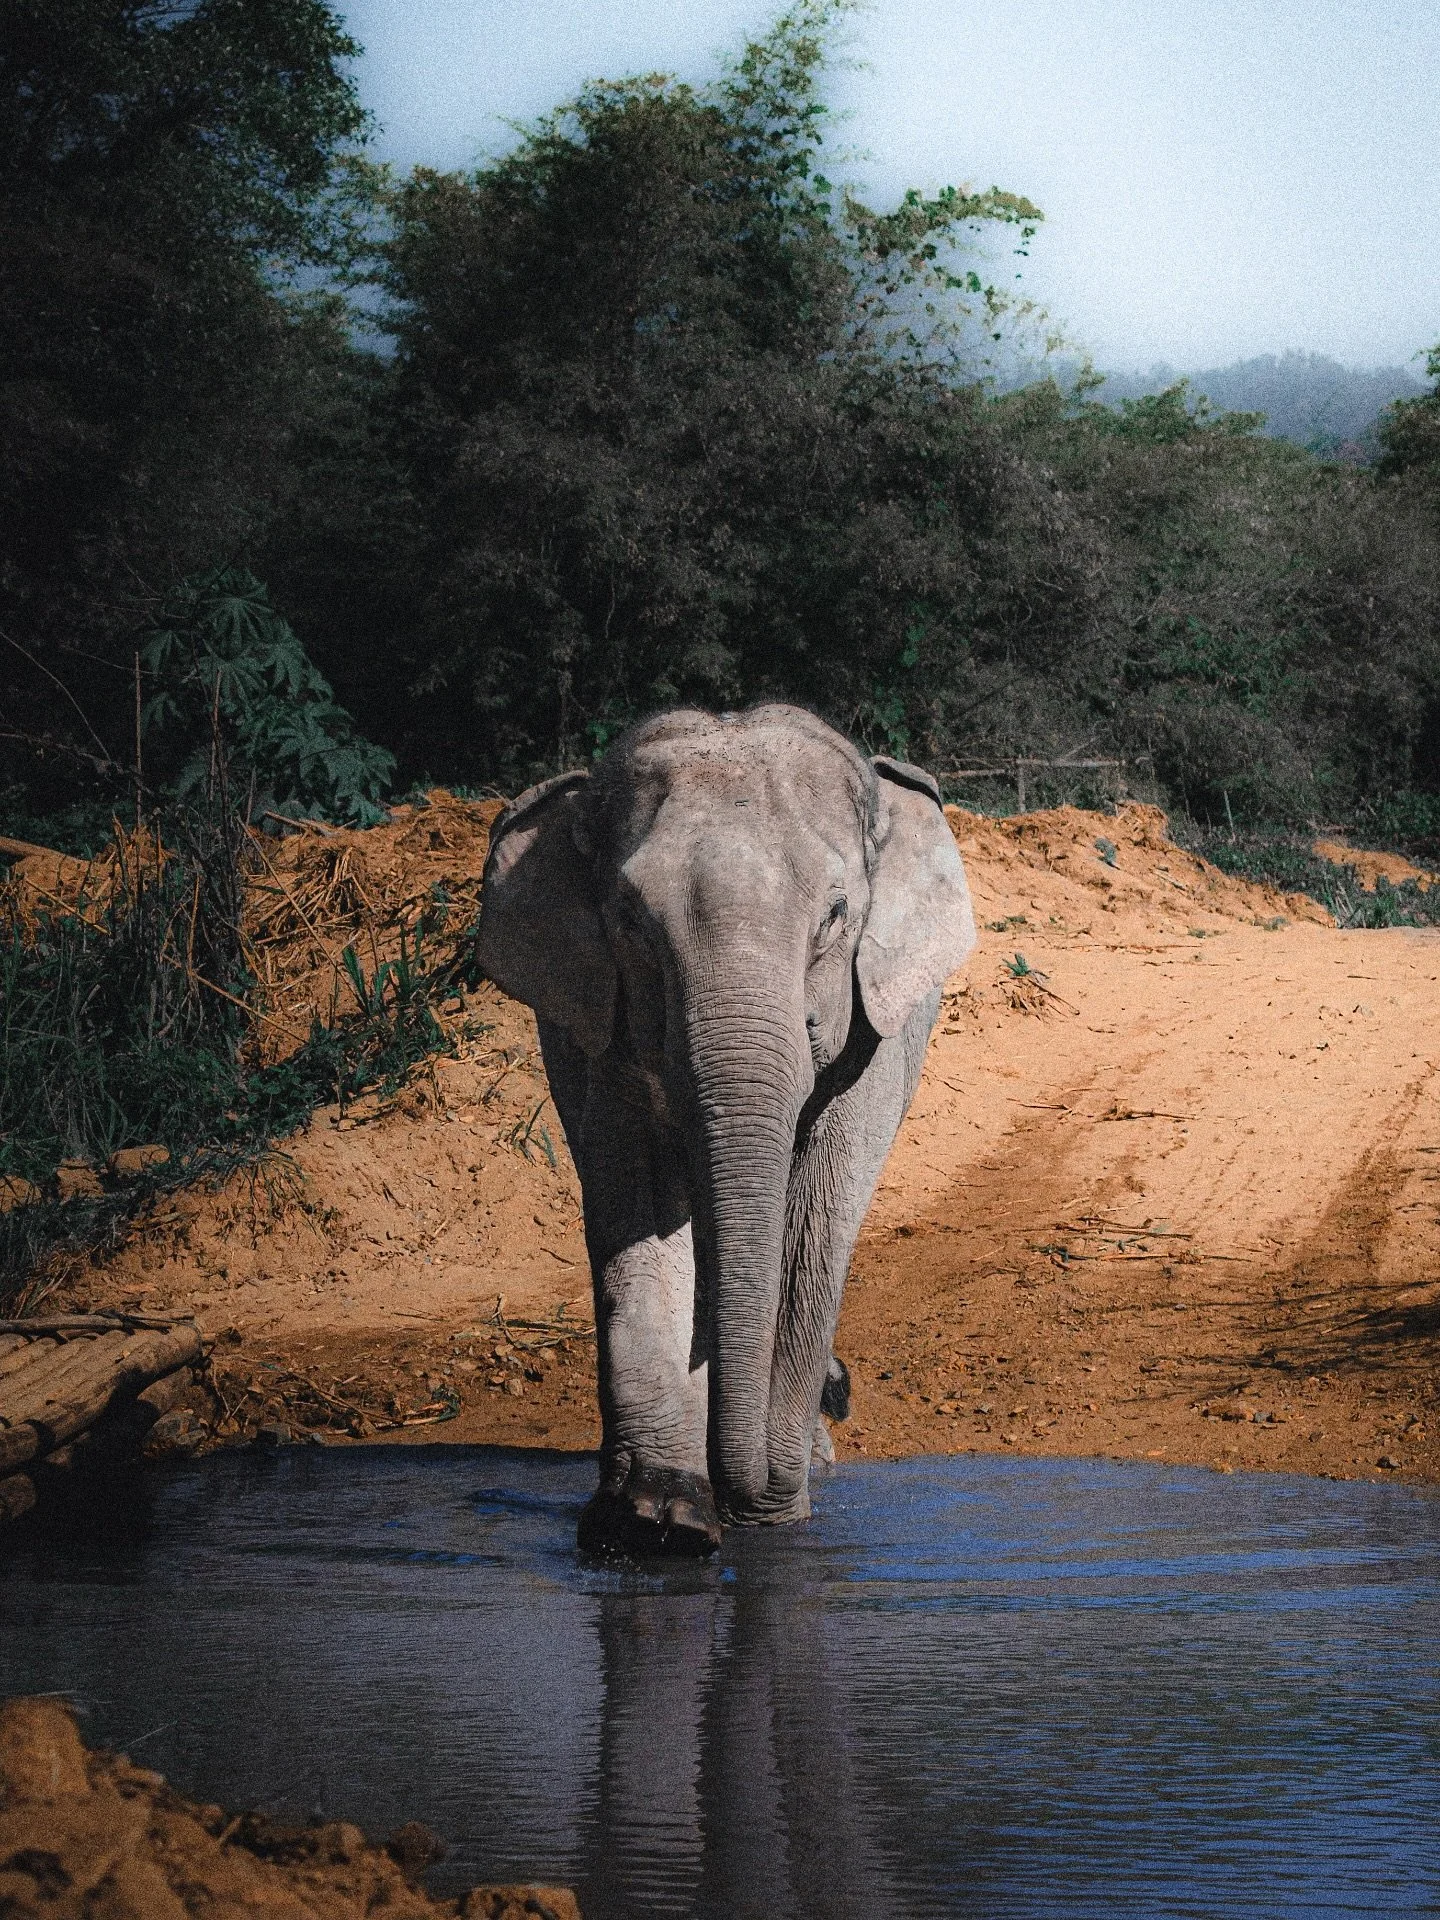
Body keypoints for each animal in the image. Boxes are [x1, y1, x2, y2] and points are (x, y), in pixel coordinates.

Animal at [476, 704, 976, 1555]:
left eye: (835, 917)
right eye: (631, 922)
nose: (844, 1393)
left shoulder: (868, 1037)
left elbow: (811, 1220)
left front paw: (773, 1508)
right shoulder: (604, 1033)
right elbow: (638, 1207)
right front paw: (655, 1521)